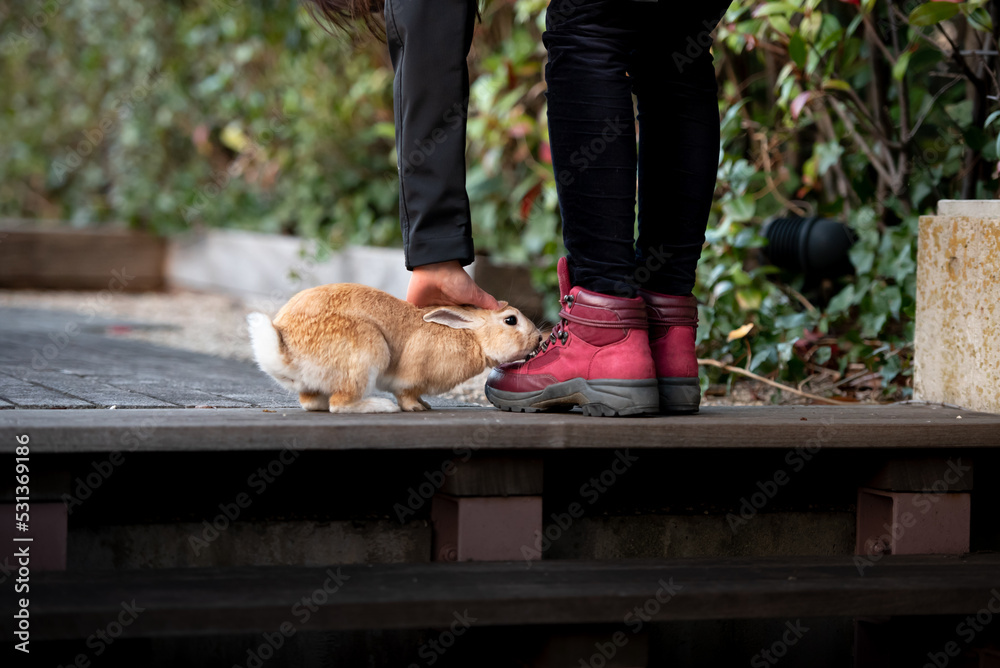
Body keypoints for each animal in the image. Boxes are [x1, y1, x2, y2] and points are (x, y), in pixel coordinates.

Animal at [247, 283, 542, 413]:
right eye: (511, 320)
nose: (538, 338)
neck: (472, 337)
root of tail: (288, 355)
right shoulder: (409, 379)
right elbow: (406, 394)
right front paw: (416, 408)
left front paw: (425, 405)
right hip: (367, 351)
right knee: (340, 404)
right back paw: (381, 406)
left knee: (313, 403)